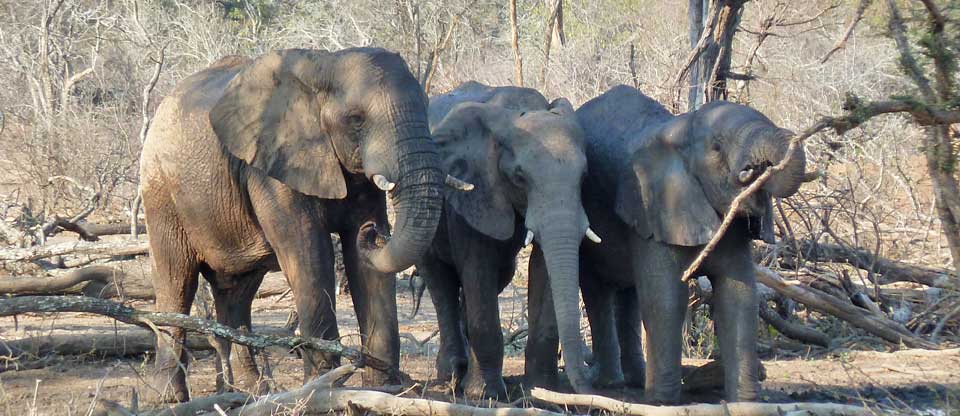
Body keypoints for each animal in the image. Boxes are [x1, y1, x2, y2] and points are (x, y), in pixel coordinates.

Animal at [139, 48, 462, 402]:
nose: (374, 233)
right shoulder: (274, 167)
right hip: (161, 192)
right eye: (356, 120)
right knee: (176, 282)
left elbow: (364, 267)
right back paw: (169, 398)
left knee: (236, 293)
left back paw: (250, 393)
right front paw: (323, 390)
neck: (324, 66)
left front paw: (385, 390)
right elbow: (310, 252)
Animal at [415, 82, 598, 399]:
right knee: (440, 282)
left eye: (584, 175)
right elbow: (478, 267)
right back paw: (451, 375)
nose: (587, 388)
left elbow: (543, 268)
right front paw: (484, 395)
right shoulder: (474, 189)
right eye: (519, 177)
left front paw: (541, 388)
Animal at [526, 85, 806, 403]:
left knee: (630, 294)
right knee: (599, 290)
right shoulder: (654, 209)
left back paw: (635, 381)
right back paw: (613, 384)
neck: (683, 131)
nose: (755, 169)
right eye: (717, 148)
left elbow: (739, 294)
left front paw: (744, 402)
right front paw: (662, 402)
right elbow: (666, 298)